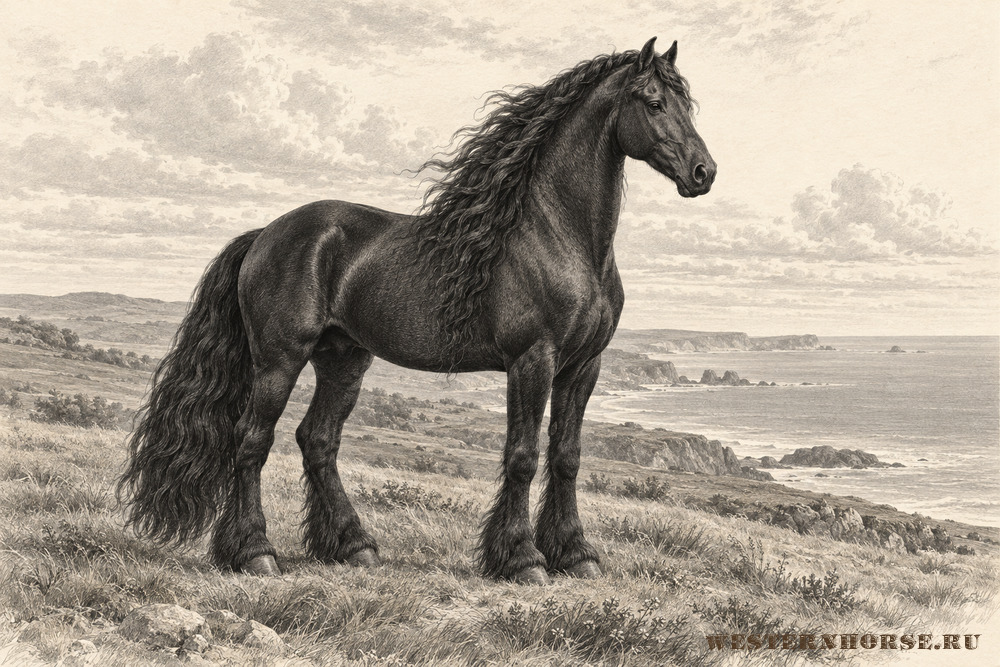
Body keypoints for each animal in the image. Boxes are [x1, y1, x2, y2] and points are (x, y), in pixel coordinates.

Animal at [117, 36, 716, 585]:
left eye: (688, 104)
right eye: (653, 102)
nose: (703, 172)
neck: (560, 237)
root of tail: (265, 234)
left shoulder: (583, 367)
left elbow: (566, 456)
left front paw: (576, 555)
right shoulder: (532, 360)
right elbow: (522, 457)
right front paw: (523, 560)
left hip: (344, 359)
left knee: (318, 441)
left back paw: (353, 546)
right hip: (279, 359)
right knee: (251, 441)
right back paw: (254, 553)